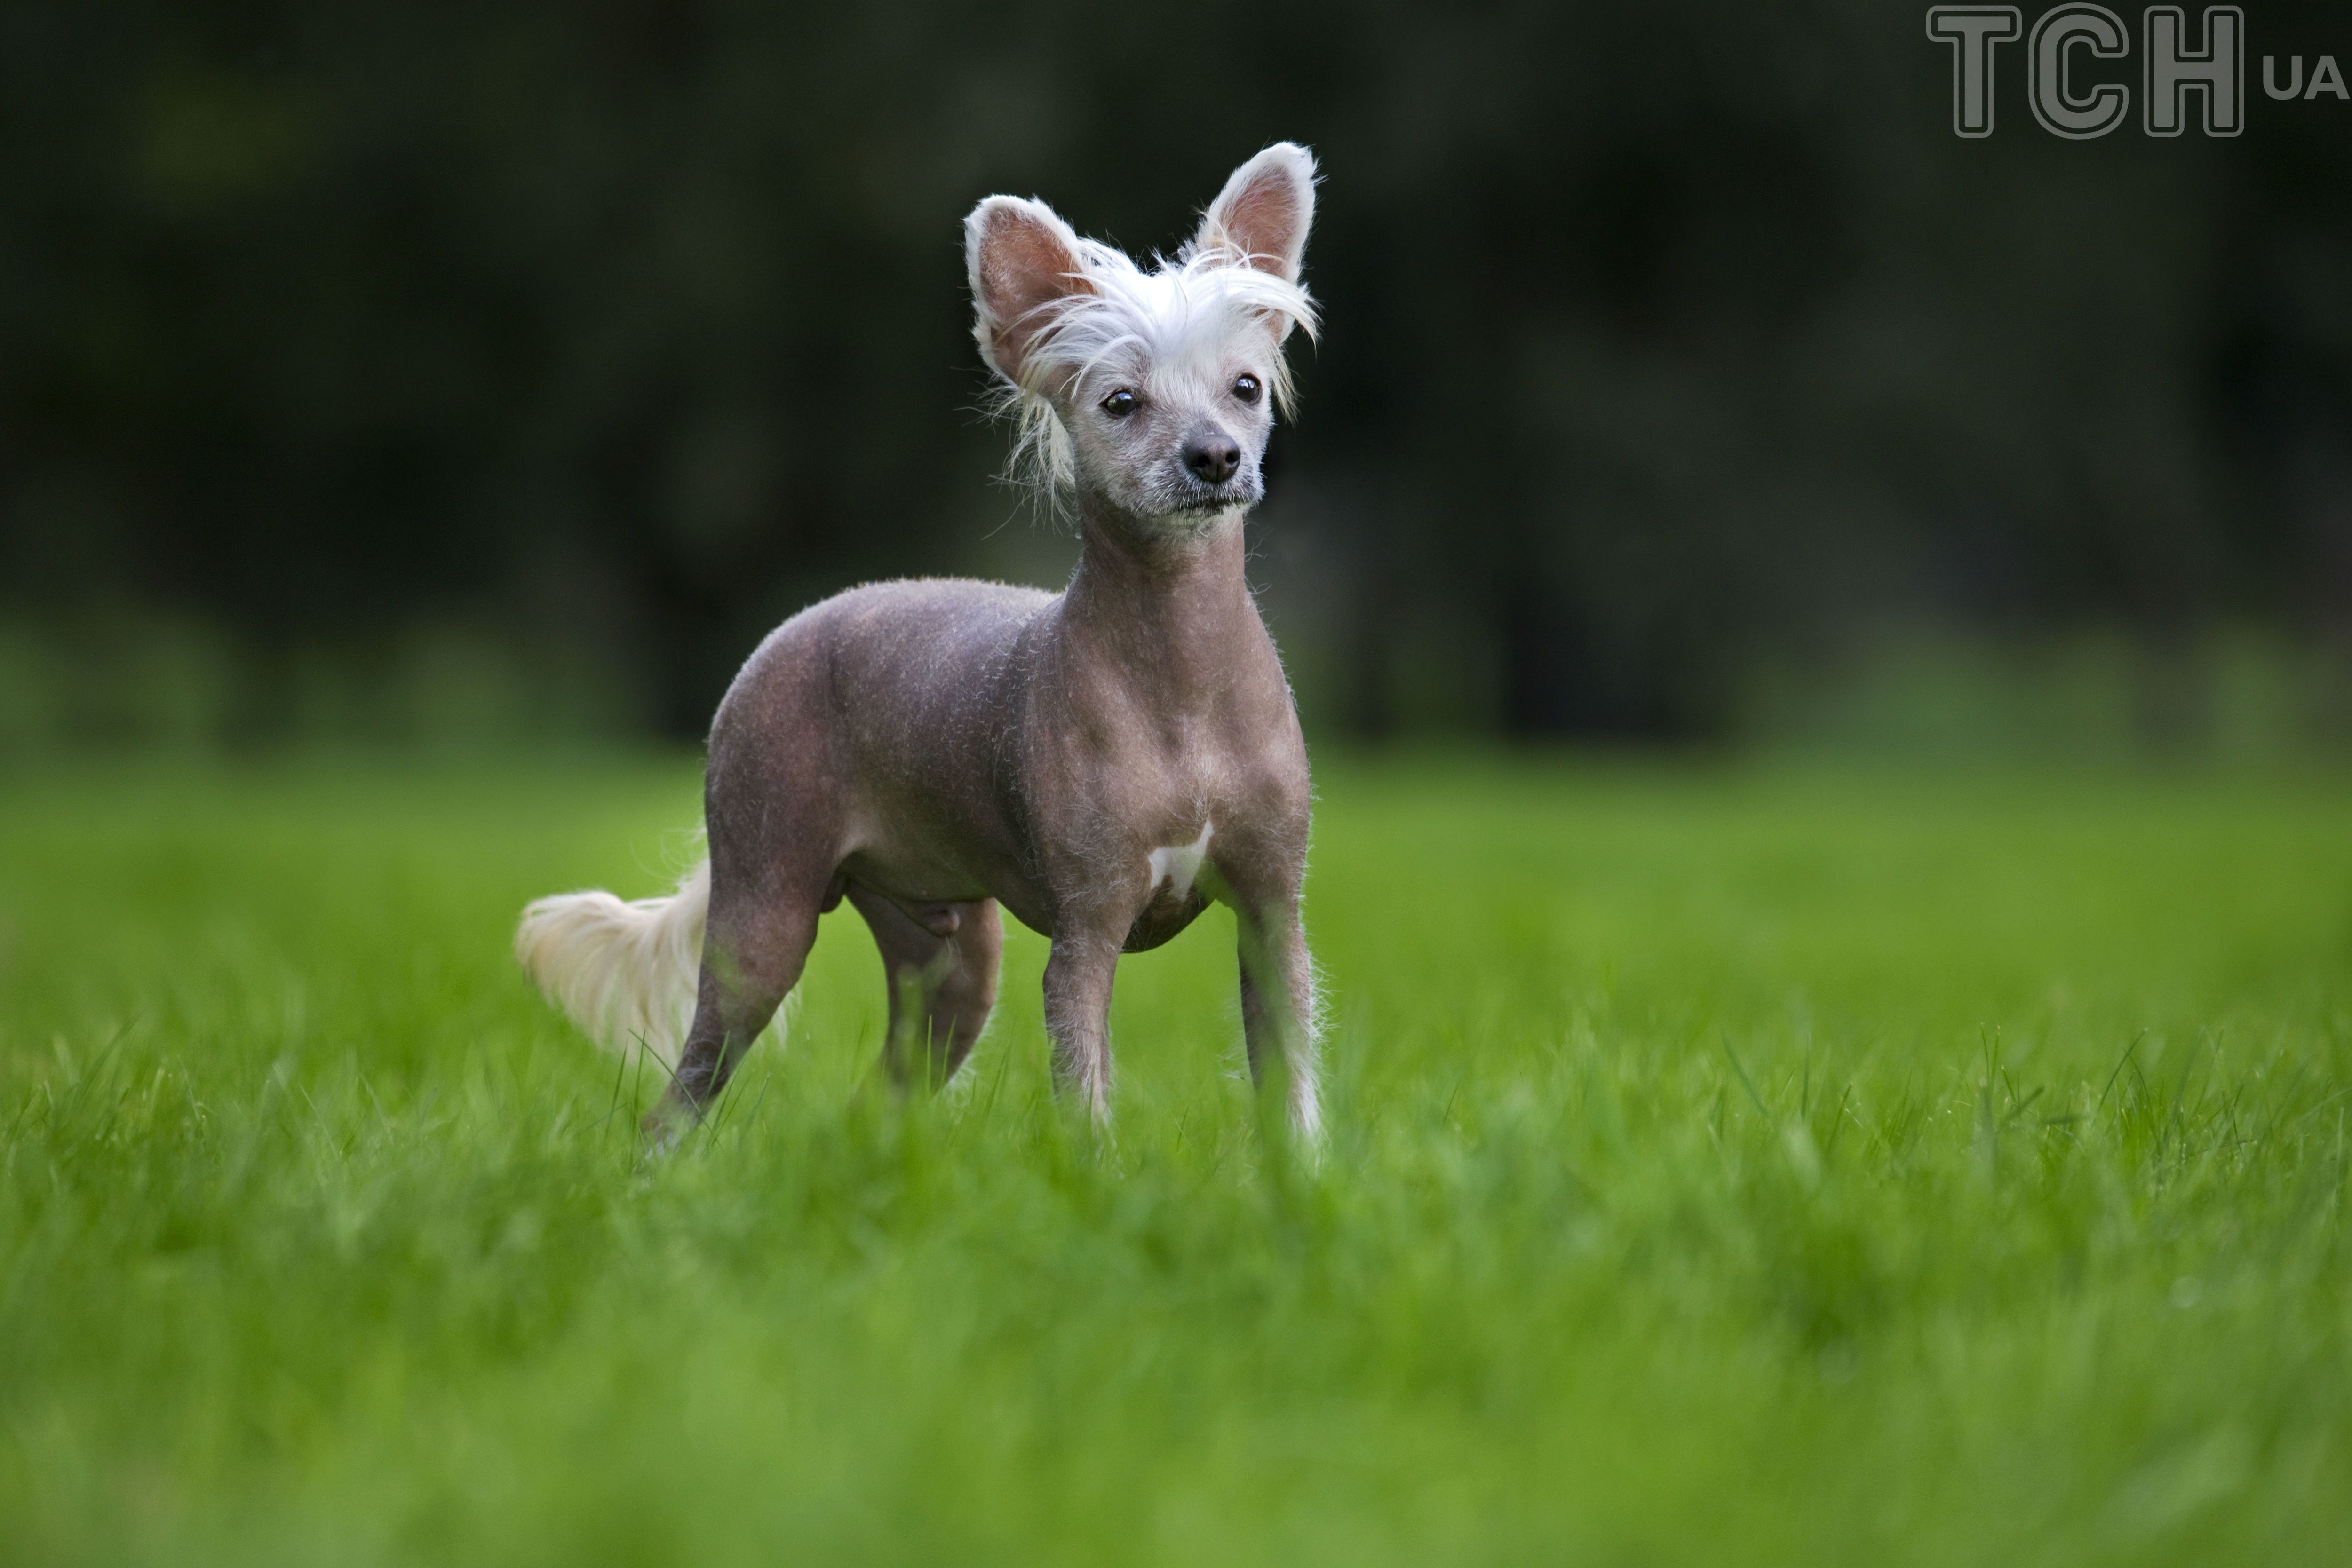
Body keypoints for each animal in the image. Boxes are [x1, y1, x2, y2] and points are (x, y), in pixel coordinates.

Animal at [517, 147, 1327, 1147]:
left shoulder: (1273, 918)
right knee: (679, 1098)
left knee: (876, 1100)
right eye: (1121, 402)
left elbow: (1291, 1082)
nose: (1215, 456)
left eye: (1245, 387)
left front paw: (1300, 1175)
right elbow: (1086, 1091)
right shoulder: (1086, 935)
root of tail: (787, 633)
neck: (1183, 677)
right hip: (763, 920)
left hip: (949, 966)